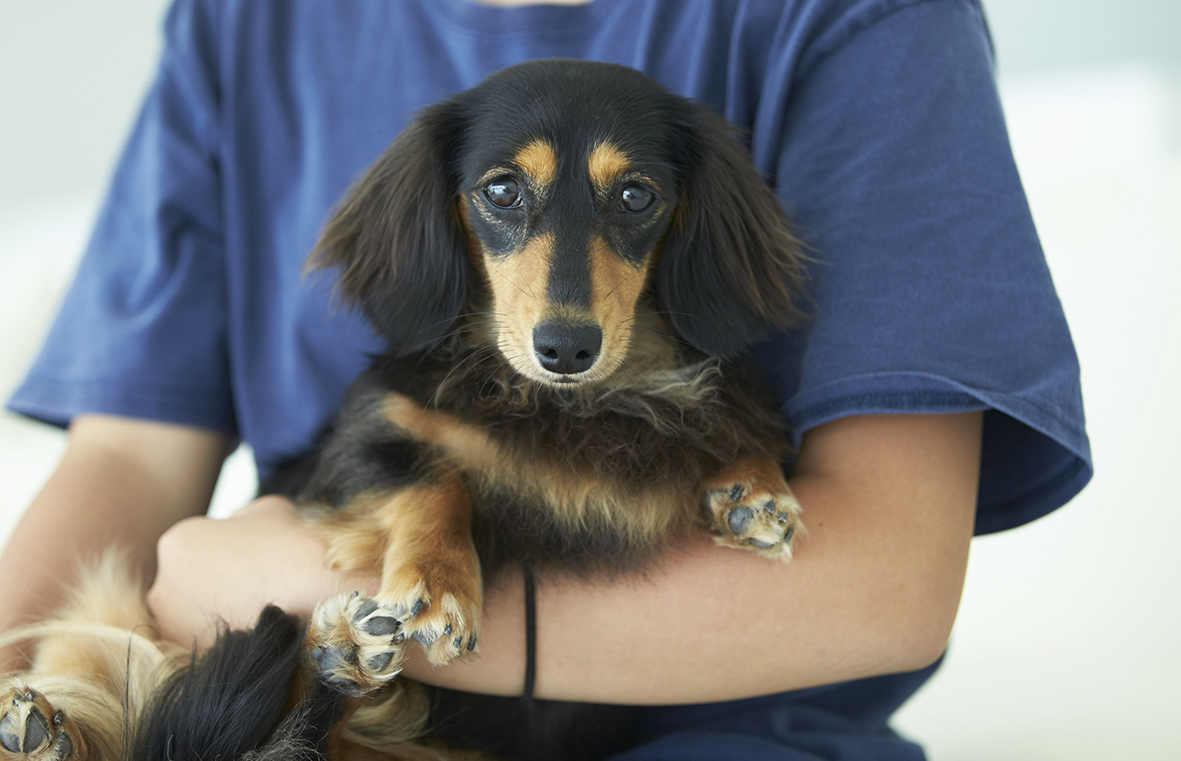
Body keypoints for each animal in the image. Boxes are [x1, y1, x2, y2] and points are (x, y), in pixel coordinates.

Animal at [0, 60, 803, 761]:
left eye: (637, 196)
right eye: (502, 189)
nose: (566, 348)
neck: (568, 405)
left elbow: (725, 429)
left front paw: (752, 489)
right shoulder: (359, 438)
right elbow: (430, 478)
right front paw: (439, 586)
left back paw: (342, 661)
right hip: (109, 611)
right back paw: (51, 730)